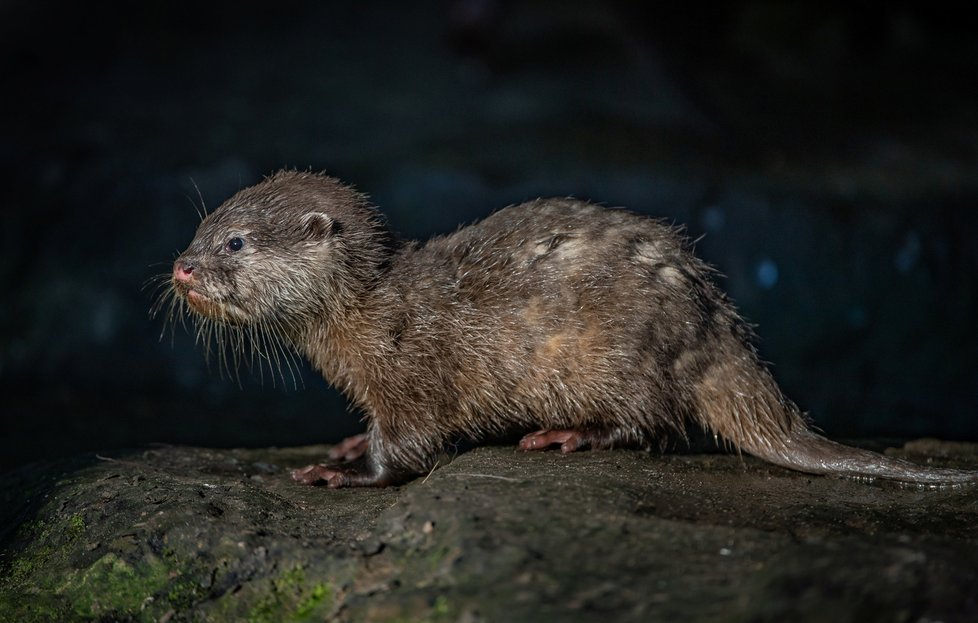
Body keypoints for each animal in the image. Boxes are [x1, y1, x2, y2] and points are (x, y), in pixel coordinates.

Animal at [156, 169, 972, 488]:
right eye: (201, 225)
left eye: (236, 243)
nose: (182, 266)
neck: (373, 316)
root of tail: (713, 326)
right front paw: (346, 444)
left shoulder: (414, 374)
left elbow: (410, 449)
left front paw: (348, 471)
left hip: (618, 353)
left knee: (653, 427)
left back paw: (565, 435)